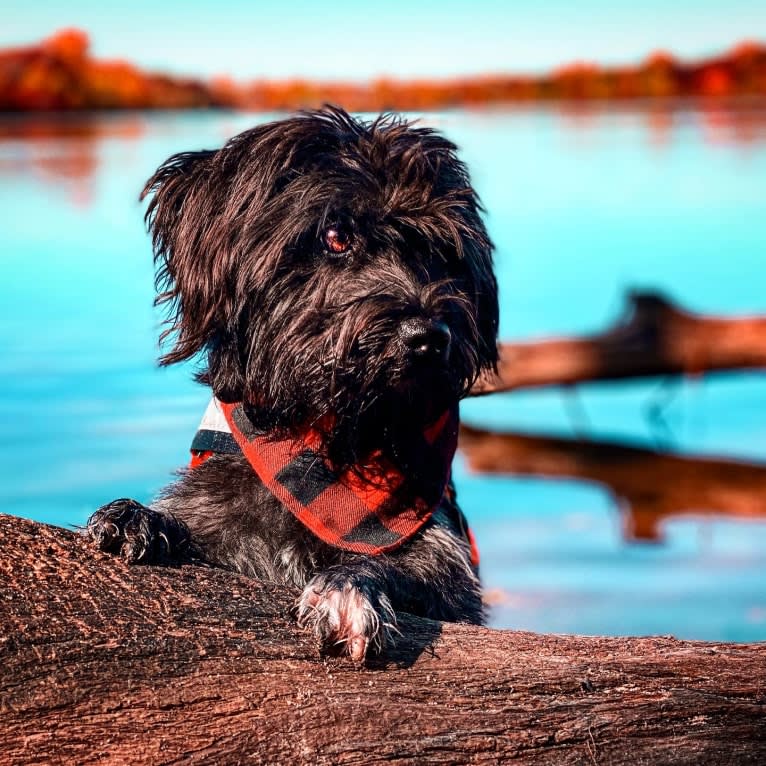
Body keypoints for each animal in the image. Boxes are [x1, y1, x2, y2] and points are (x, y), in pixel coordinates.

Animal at [87, 105, 500, 664]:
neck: (332, 448)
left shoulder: (448, 566)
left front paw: (348, 586)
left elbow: (401, 566)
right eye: (336, 236)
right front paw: (141, 518)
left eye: (438, 251)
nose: (428, 339)